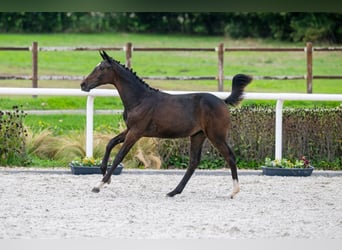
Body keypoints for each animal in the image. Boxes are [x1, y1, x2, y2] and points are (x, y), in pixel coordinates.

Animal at [80, 50, 251, 198]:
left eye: (102, 68)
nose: (83, 84)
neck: (139, 99)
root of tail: (223, 101)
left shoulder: (136, 132)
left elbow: (119, 156)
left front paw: (99, 185)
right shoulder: (130, 129)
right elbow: (110, 143)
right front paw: (105, 176)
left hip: (216, 135)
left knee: (229, 156)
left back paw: (234, 191)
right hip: (198, 135)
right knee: (193, 162)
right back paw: (173, 191)